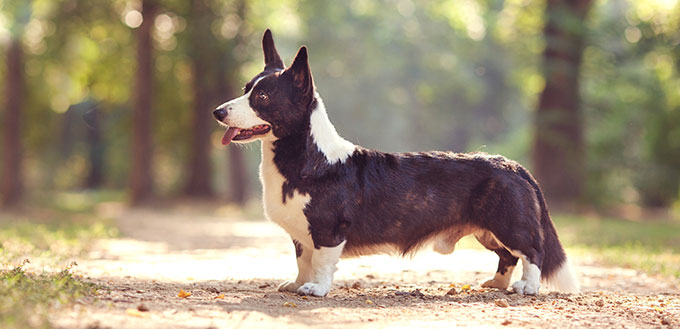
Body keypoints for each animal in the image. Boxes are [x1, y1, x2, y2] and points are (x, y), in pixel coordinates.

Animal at [214, 30, 580, 298]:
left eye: (262, 98)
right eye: (246, 89)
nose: (217, 112)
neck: (307, 158)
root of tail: (514, 166)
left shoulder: (328, 231)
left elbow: (320, 263)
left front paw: (315, 289)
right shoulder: (302, 235)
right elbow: (302, 260)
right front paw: (295, 284)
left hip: (508, 225)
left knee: (531, 253)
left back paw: (527, 287)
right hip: (488, 231)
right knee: (508, 256)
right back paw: (497, 284)